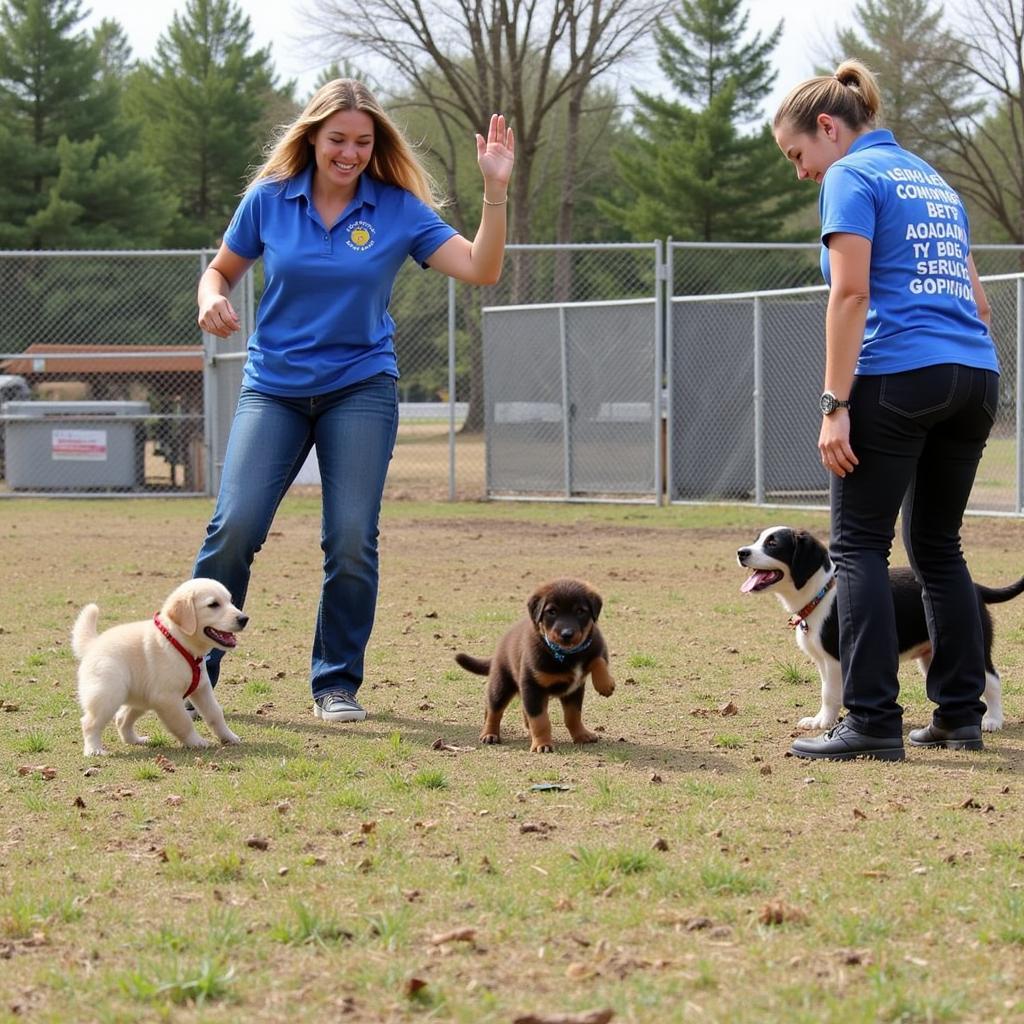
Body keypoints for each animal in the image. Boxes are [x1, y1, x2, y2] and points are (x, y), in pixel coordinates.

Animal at [73, 581, 246, 757]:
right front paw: (197, 742)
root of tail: (93, 643)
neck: (179, 641)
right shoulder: (167, 698)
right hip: (109, 694)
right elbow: (184, 722)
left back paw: (136, 740)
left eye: (231, 601)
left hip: (142, 698)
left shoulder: (202, 688)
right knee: (89, 722)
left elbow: (215, 713)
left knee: (121, 719)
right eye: (213, 604)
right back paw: (94, 749)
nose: (244, 619)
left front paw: (229, 737)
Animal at [458, 577, 614, 753]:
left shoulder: (577, 682)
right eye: (551, 612)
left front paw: (604, 686)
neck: (567, 655)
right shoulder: (532, 686)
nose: (567, 634)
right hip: (501, 683)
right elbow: (540, 720)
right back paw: (489, 734)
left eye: (580, 611)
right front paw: (542, 744)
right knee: (493, 709)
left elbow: (574, 714)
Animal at [733, 528, 1019, 737]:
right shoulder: (823, 662)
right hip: (932, 656)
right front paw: (821, 719)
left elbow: (830, 693)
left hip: (975, 647)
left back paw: (992, 720)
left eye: (772, 543)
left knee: (993, 680)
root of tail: (976, 588)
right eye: (756, 539)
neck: (820, 594)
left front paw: (823, 723)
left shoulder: (835, 660)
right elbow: (827, 692)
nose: (741, 552)